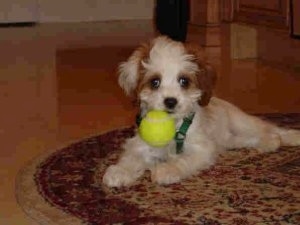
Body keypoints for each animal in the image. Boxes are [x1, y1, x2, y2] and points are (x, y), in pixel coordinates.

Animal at [102, 36, 300, 187]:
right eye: (155, 82)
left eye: (184, 81)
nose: (170, 101)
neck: (175, 126)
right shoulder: (140, 145)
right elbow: (130, 158)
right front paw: (119, 172)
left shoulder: (201, 148)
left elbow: (182, 160)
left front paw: (167, 170)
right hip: (231, 140)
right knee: (257, 137)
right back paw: (270, 143)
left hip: (242, 122)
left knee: (270, 128)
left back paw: (289, 136)